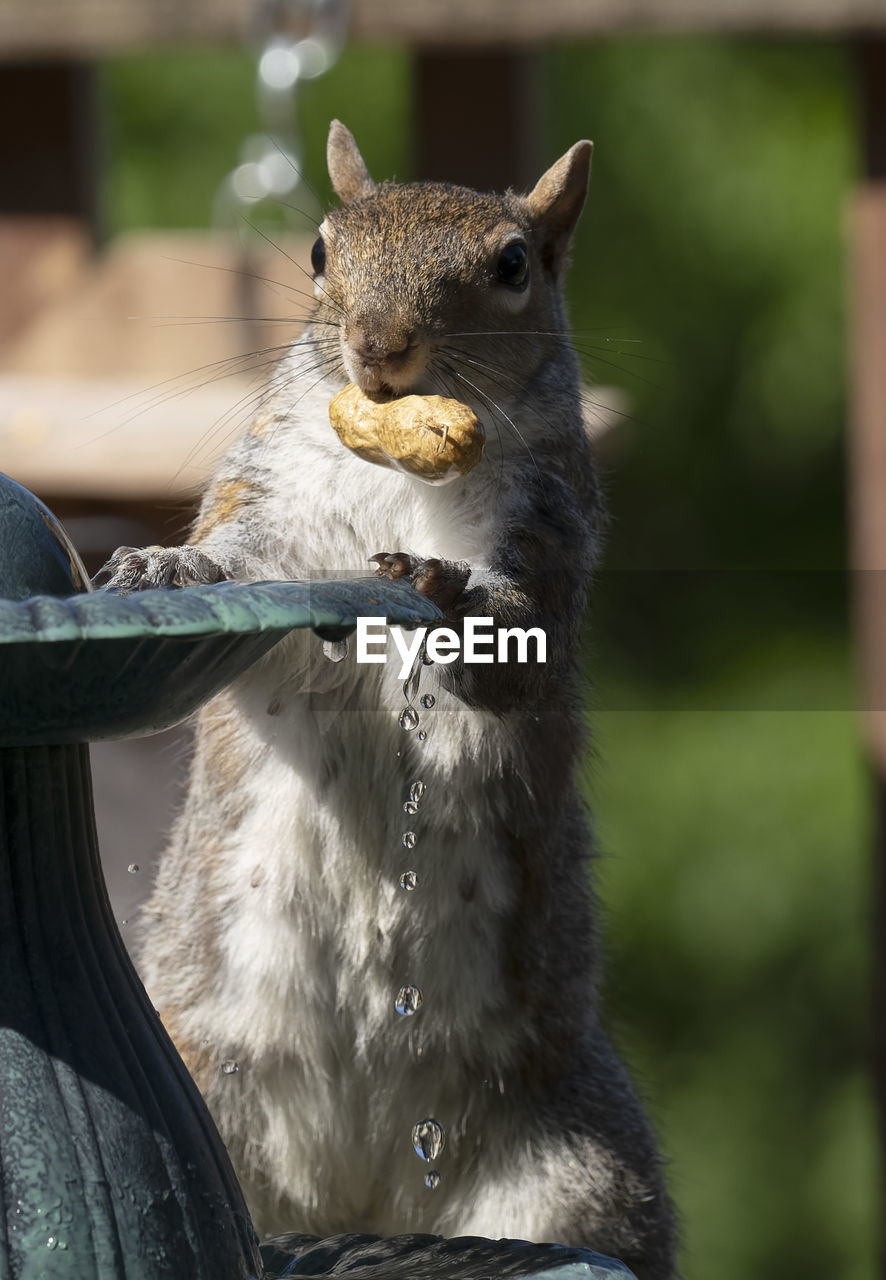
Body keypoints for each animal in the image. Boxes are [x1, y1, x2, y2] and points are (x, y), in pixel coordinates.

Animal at [96, 120, 676, 1280]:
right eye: (321, 249)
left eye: (513, 265)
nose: (378, 347)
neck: (394, 466)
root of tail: (357, 1187)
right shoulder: (268, 511)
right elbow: (236, 570)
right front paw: (166, 566)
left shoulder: (552, 534)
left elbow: (513, 654)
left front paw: (447, 593)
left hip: (577, 1174)